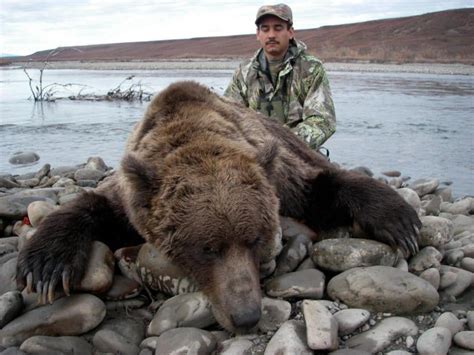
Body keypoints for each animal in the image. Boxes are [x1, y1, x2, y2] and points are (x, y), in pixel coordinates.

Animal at [16, 80, 420, 334]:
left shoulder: (283, 178)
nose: (246, 316)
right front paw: (45, 266)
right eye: (207, 248)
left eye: (255, 238)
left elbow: (322, 187)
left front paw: (400, 221)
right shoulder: (132, 197)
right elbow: (94, 207)